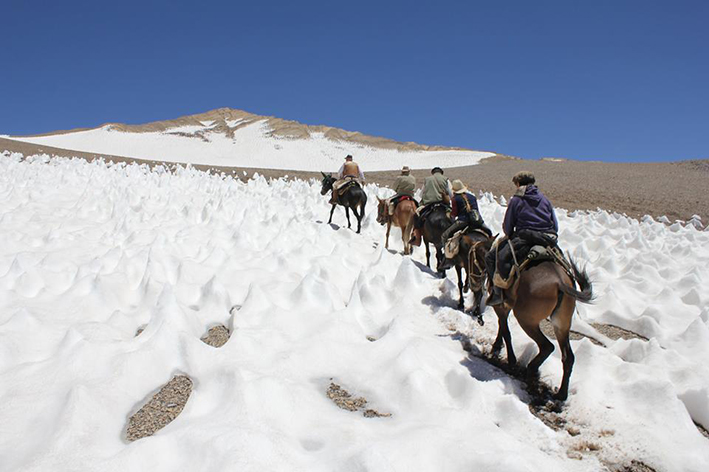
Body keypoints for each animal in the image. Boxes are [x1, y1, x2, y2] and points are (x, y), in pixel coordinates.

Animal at [476, 247, 592, 402]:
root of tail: (560, 283)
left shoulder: (500, 305)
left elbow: (505, 330)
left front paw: (509, 358)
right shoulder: (505, 305)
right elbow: (502, 326)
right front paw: (497, 346)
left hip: (526, 320)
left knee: (547, 346)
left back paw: (531, 370)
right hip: (562, 325)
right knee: (568, 357)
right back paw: (561, 394)